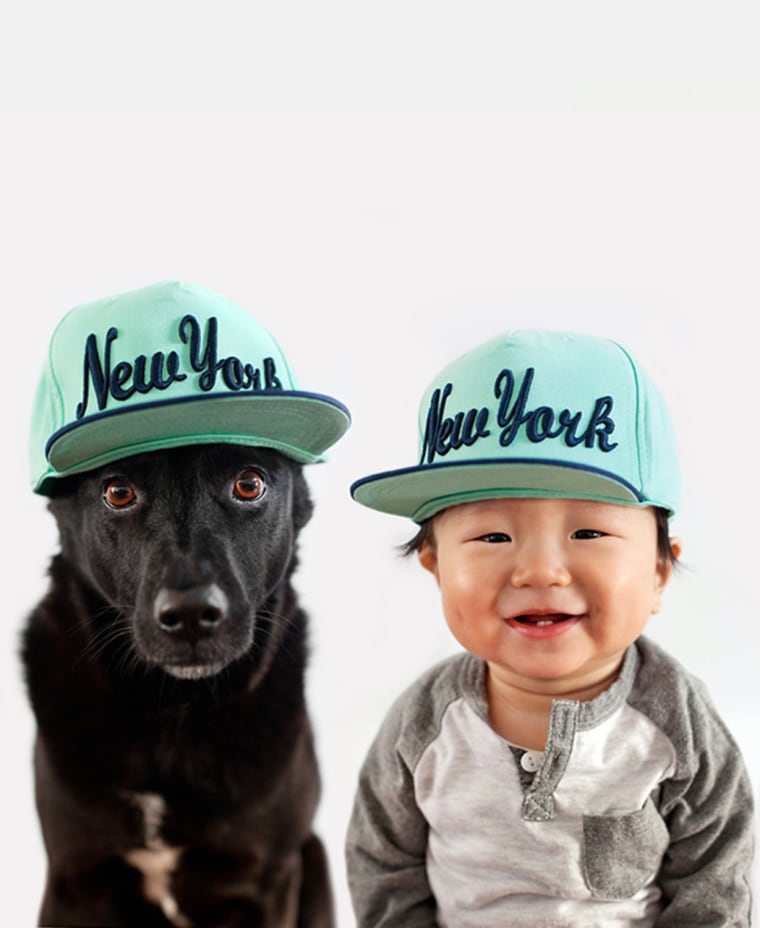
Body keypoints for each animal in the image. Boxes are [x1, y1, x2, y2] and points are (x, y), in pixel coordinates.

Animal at [20, 442, 332, 928]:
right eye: (118, 491)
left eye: (249, 483)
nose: (190, 615)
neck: (171, 711)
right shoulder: (74, 881)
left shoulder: (269, 879)